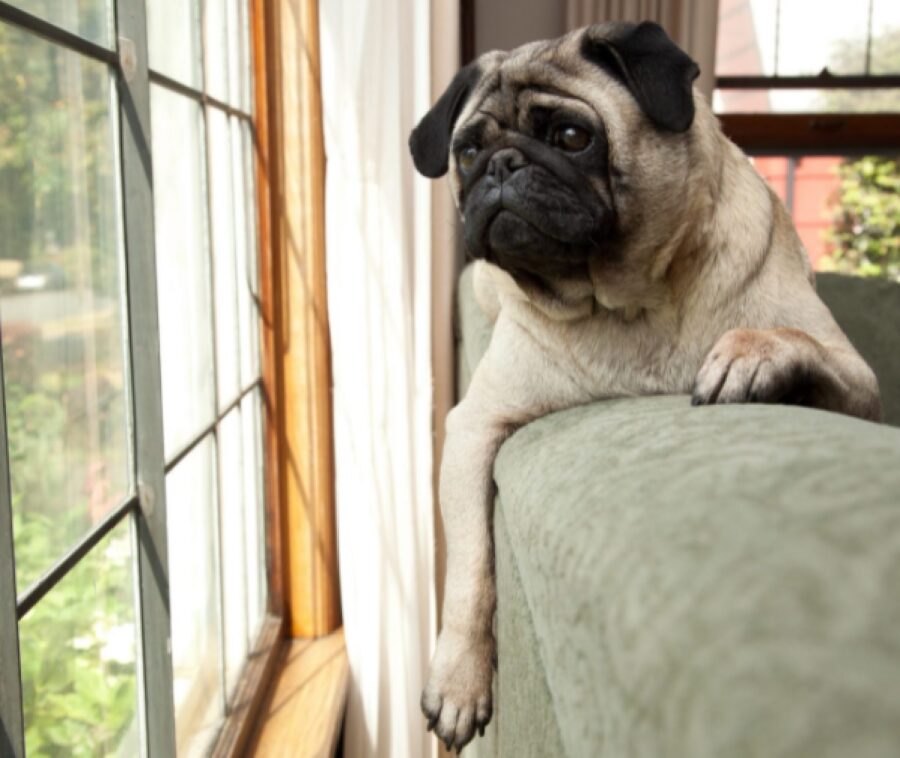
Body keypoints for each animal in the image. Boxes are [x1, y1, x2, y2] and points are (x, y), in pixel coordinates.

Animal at [406, 20, 880, 752]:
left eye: (573, 136)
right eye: (468, 151)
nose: (502, 166)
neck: (627, 303)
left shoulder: (857, 379)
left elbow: (789, 339)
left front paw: (750, 354)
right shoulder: (475, 427)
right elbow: (471, 570)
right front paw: (458, 680)